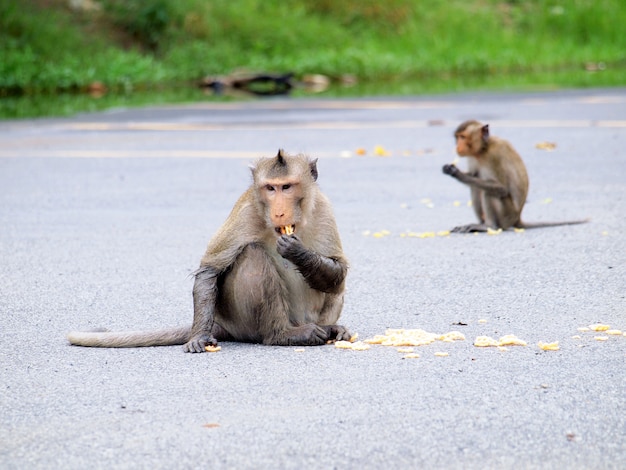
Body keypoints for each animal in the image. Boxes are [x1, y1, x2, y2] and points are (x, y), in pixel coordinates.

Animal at [69, 151, 352, 352]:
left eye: (287, 186)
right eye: (270, 188)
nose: (279, 212)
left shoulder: (323, 208)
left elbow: (338, 271)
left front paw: (298, 252)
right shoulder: (247, 211)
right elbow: (210, 270)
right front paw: (200, 336)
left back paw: (330, 329)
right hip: (242, 320)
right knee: (252, 255)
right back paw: (282, 335)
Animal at [438, 120, 584, 232]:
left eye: (462, 137)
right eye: (457, 137)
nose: (457, 147)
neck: (483, 149)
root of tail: (517, 217)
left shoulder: (494, 157)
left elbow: (502, 188)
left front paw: (456, 173)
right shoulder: (473, 158)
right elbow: (474, 175)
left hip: (506, 214)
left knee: (489, 192)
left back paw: (489, 226)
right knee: (475, 187)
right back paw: (481, 223)